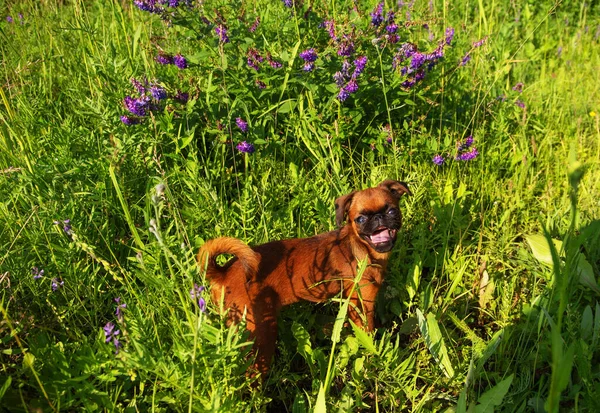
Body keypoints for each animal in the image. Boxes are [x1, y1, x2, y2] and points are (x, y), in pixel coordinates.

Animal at [196, 180, 408, 376]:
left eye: (391, 211)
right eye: (361, 219)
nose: (379, 218)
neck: (360, 247)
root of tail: (222, 272)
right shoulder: (364, 304)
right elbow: (367, 331)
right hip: (260, 333)